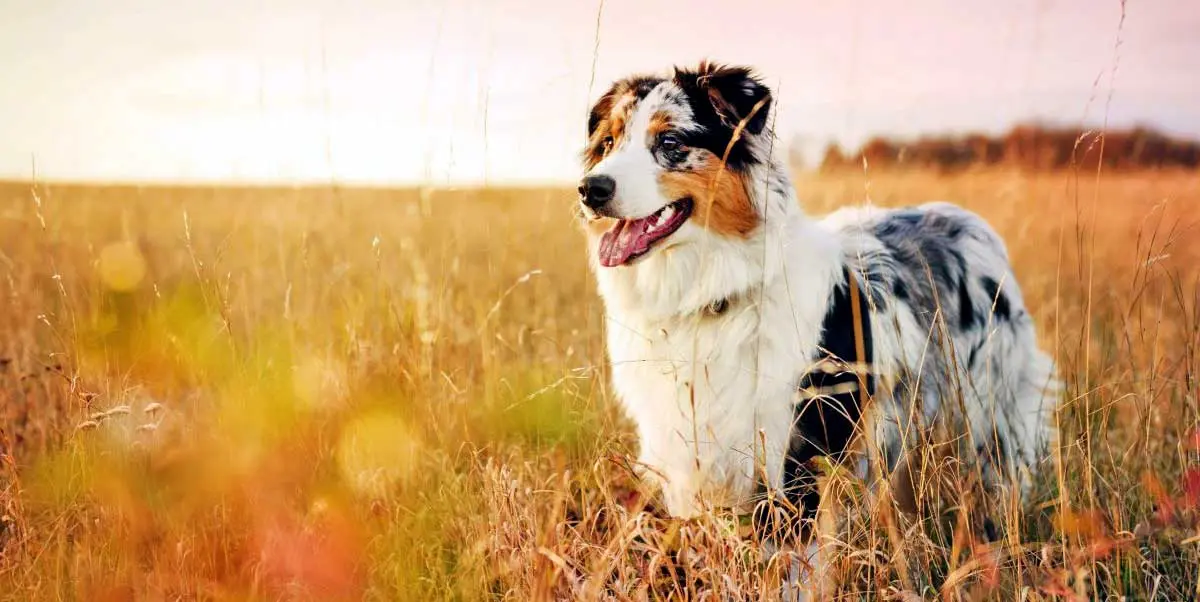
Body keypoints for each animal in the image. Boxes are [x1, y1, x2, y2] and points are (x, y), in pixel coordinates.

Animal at [576, 62, 1056, 582]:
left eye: (669, 142)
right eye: (608, 142)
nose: (591, 189)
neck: (712, 296)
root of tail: (968, 220)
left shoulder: (795, 458)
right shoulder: (690, 456)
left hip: (988, 421)